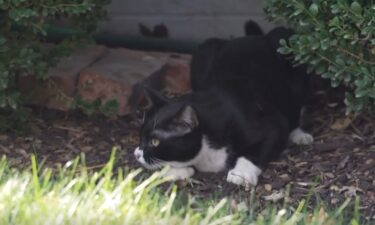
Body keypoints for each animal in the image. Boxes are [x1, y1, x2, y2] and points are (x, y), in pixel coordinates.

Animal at [134, 25, 312, 186]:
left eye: (155, 142)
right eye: (141, 136)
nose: (137, 153)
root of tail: (251, 37)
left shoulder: (268, 122)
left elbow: (259, 147)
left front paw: (241, 173)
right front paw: (176, 170)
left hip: (290, 45)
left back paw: (299, 134)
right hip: (204, 49)